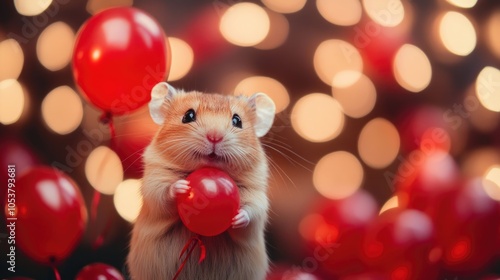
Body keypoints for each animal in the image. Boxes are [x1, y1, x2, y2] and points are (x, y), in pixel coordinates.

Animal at [124, 82, 274, 278]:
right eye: (188, 116)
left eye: (237, 121)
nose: (214, 137)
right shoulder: (154, 180)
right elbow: (162, 194)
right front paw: (181, 186)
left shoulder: (257, 195)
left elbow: (252, 212)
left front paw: (238, 217)